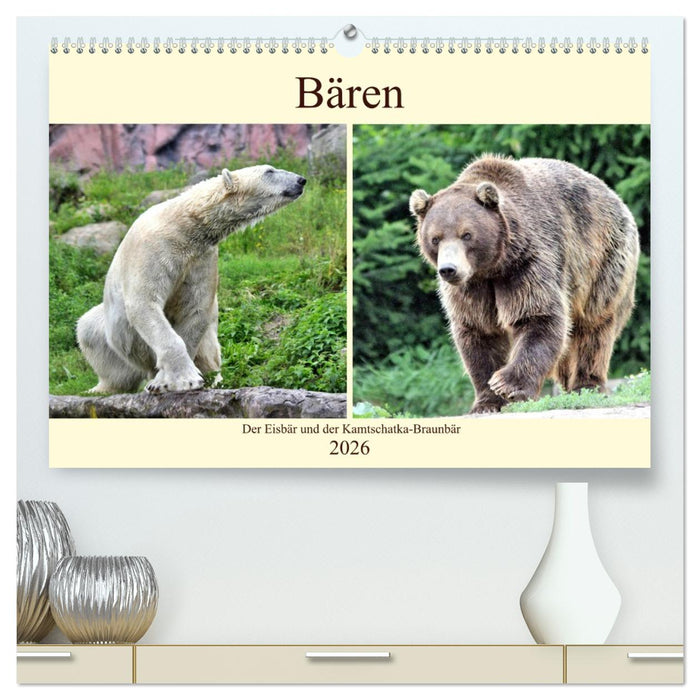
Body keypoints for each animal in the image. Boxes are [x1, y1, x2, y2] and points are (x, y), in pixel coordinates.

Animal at [77, 165, 306, 394]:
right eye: (270, 171)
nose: (301, 180)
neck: (185, 223)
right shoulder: (152, 249)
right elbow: (144, 302)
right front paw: (184, 380)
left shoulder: (201, 259)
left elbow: (195, 309)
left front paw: (166, 381)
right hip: (112, 334)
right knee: (90, 330)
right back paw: (102, 388)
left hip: (209, 343)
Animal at [409, 155, 640, 414]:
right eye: (435, 238)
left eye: (466, 234)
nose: (449, 269)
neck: (493, 267)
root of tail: (616, 197)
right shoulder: (472, 287)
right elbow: (478, 332)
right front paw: (486, 402)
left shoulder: (527, 263)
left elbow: (537, 316)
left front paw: (506, 384)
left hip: (603, 260)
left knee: (593, 327)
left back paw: (586, 386)